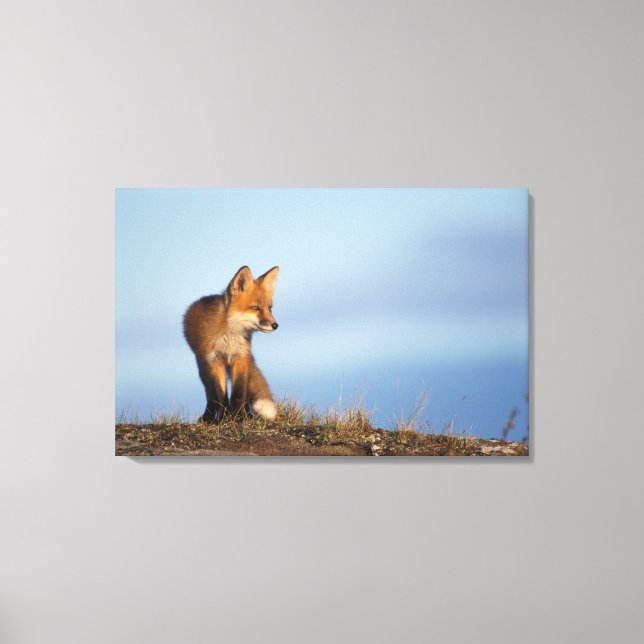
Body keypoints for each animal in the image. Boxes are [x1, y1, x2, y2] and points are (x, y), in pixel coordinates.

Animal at [183, 266, 280, 423]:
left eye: (269, 308)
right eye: (255, 308)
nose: (275, 325)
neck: (230, 337)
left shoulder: (240, 357)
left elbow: (239, 393)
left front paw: (240, 417)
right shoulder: (215, 360)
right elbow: (220, 394)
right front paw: (224, 419)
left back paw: (245, 414)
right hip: (203, 366)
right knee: (210, 395)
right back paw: (210, 416)